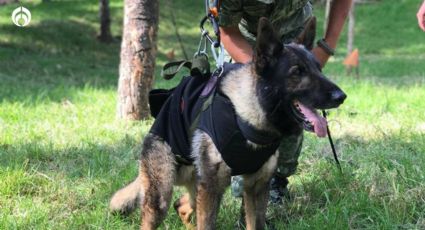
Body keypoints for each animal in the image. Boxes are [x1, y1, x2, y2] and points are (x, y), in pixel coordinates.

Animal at [109, 18, 344, 230]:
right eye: (297, 72)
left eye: (319, 68)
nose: (341, 97)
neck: (247, 119)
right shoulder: (212, 189)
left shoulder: (256, 189)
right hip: (163, 195)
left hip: (197, 190)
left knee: (182, 205)